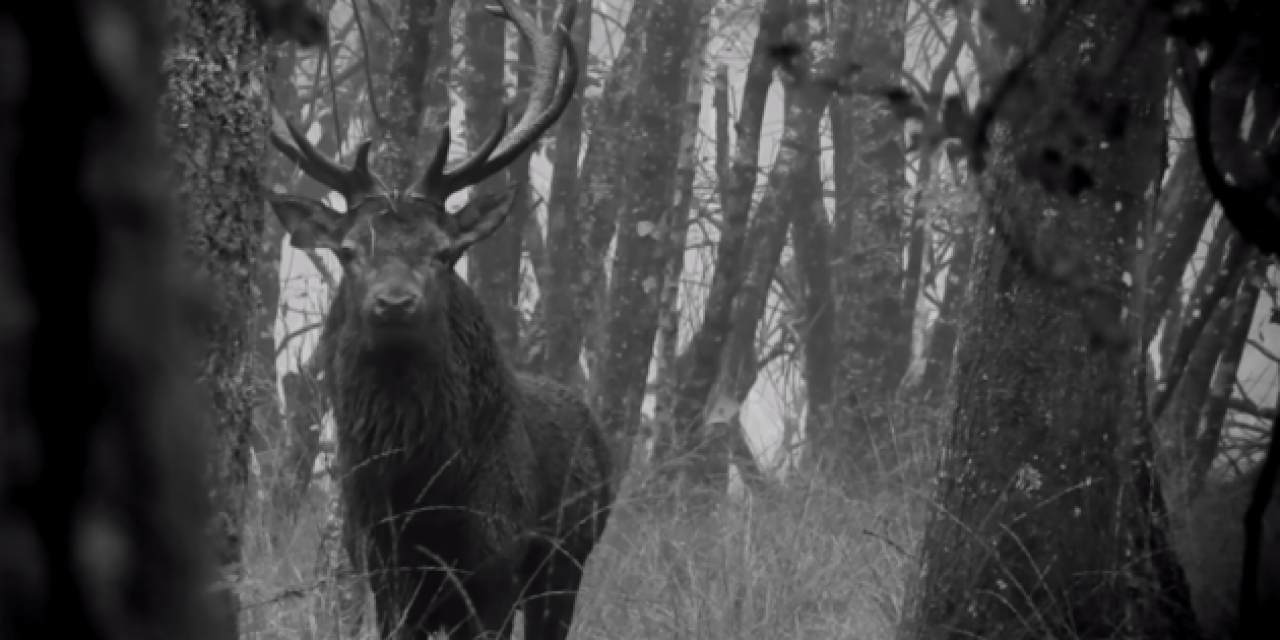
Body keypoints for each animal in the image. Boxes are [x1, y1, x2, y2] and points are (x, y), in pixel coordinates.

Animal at [262, 2, 611, 637]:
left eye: (444, 252)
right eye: (348, 250)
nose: (395, 302)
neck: (419, 490)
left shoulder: (496, 563)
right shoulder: (381, 565)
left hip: (568, 559)